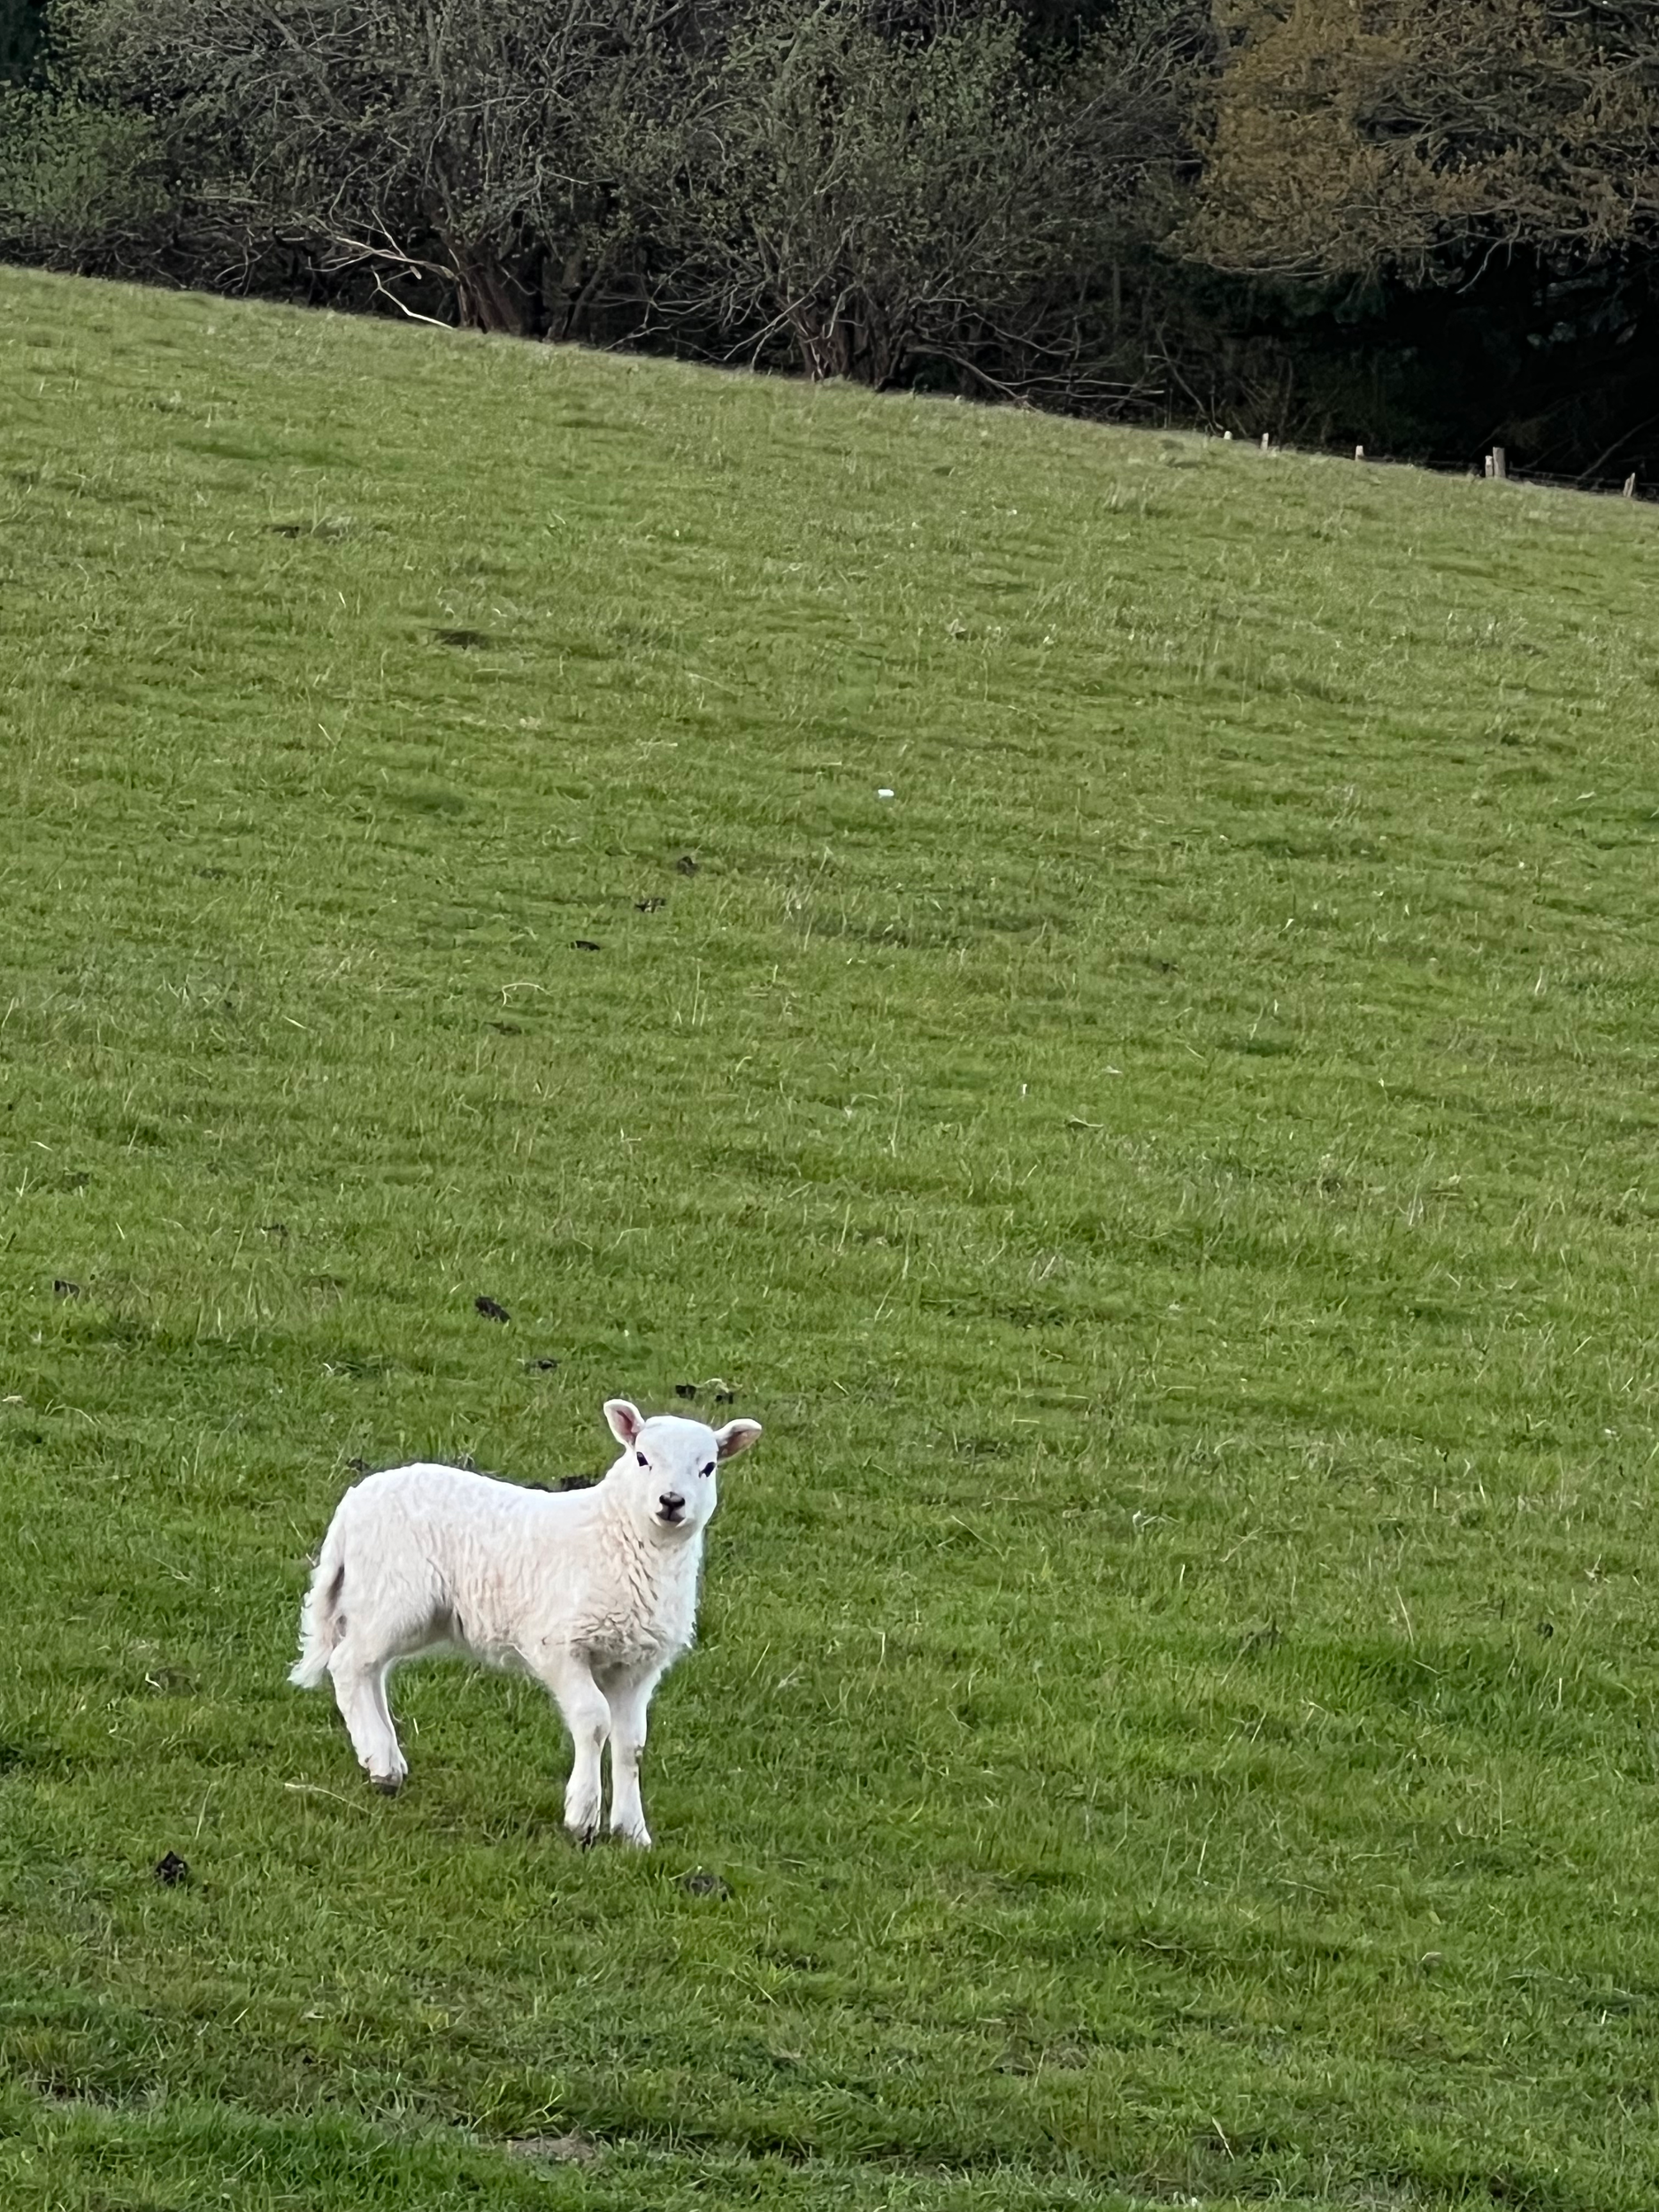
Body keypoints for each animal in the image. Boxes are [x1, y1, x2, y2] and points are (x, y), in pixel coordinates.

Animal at [289, 1398, 762, 1845]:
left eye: (708, 1467)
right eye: (642, 1457)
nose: (671, 1502)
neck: (621, 1537)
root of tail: (353, 1503)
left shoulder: (636, 1665)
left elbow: (633, 1744)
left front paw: (632, 1831)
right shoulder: (559, 1645)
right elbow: (594, 1720)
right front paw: (582, 1816)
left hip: (397, 1608)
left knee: (372, 1670)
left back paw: (384, 1756)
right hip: (396, 1597)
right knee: (348, 1665)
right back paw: (381, 1764)